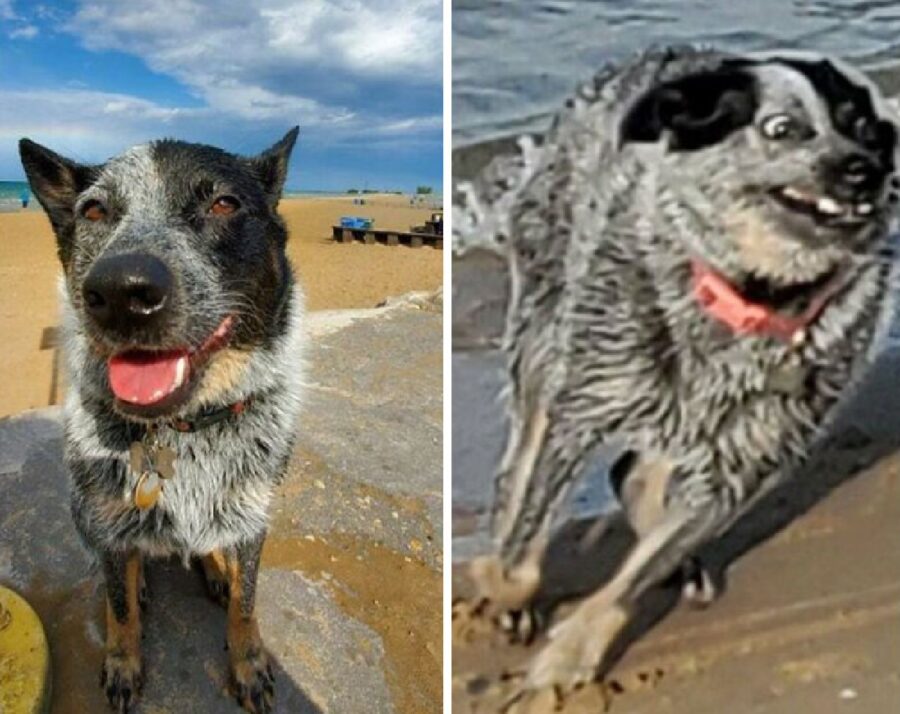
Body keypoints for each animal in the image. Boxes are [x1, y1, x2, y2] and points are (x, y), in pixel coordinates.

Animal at [17, 129, 304, 712]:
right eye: (95, 210)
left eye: (224, 204)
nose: (121, 292)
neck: (182, 429)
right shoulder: (103, 513)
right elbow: (120, 608)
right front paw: (124, 660)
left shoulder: (254, 514)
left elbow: (246, 604)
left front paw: (248, 663)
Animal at [454, 47, 900, 704]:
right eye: (781, 128)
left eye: (864, 127)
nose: (863, 169)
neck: (755, 297)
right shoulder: (585, 399)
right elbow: (524, 550)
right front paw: (504, 588)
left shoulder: (744, 461)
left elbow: (636, 575)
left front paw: (567, 659)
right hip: (546, 316)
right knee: (524, 456)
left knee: (636, 475)